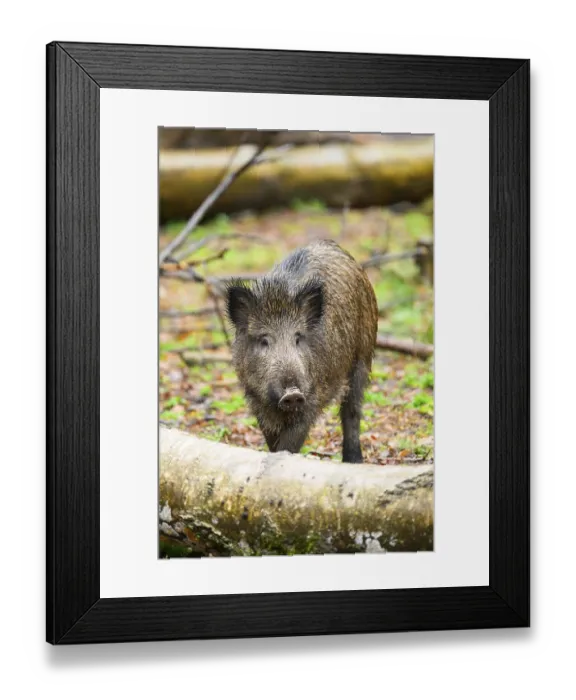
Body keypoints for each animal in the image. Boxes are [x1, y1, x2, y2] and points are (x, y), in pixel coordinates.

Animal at [225, 239, 378, 463]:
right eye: (264, 340)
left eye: (298, 338)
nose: (292, 393)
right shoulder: (255, 397)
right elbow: (271, 438)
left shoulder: (313, 395)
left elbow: (291, 442)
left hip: (363, 356)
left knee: (351, 411)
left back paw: (353, 460)